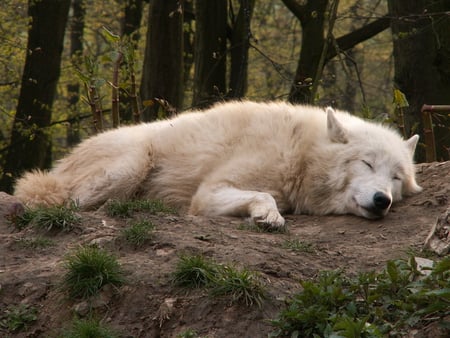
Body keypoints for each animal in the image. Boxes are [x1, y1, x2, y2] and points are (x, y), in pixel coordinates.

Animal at [14, 100, 422, 227]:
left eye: (396, 178)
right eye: (366, 164)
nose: (383, 200)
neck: (300, 153)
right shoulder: (209, 192)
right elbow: (264, 196)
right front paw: (269, 216)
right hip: (130, 165)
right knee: (61, 203)